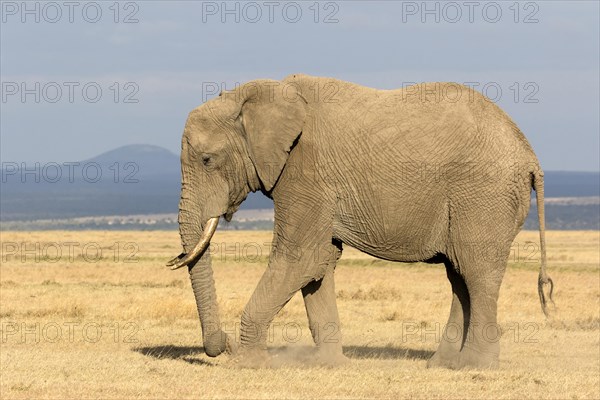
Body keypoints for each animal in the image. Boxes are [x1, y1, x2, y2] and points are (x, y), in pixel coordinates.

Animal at [165, 74, 552, 368]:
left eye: (207, 159)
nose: (222, 344)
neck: (256, 95)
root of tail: (530, 155)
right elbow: (319, 261)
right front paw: (326, 365)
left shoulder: (306, 171)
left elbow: (300, 257)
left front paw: (249, 364)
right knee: (459, 275)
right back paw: (443, 365)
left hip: (483, 195)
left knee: (476, 271)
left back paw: (475, 366)